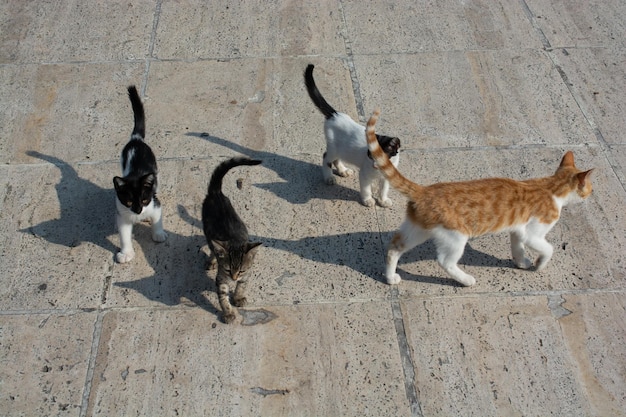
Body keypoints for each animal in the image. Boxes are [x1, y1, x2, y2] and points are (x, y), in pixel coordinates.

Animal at [112, 85, 166, 262]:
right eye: (129, 202)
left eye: (144, 199)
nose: (138, 211)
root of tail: (136, 139)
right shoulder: (122, 214)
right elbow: (124, 235)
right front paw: (126, 253)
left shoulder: (155, 204)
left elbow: (157, 219)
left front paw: (158, 234)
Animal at [202, 156, 260, 322]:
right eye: (228, 269)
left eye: (240, 271)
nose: (233, 278)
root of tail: (216, 193)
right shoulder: (221, 278)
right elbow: (222, 296)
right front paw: (228, 313)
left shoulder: (246, 274)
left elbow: (242, 286)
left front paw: (238, 297)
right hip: (207, 230)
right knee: (211, 246)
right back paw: (211, 260)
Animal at [304, 64, 400, 207]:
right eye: (370, 155)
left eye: (381, 155)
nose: (375, 164)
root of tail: (335, 115)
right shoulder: (364, 174)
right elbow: (366, 189)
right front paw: (368, 200)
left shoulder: (387, 177)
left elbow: (384, 189)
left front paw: (383, 200)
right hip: (333, 147)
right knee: (326, 157)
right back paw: (329, 177)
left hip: (341, 149)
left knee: (336, 159)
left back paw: (343, 170)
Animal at [364, 109, 592, 286]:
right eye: (590, 187)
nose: (591, 193)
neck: (551, 188)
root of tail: (424, 190)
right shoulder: (533, 233)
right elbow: (548, 249)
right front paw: (539, 265)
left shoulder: (518, 230)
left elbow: (517, 248)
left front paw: (521, 262)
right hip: (456, 236)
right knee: (445, 261)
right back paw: (466, 280)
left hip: (419, 229)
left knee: (394, 247)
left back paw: (390, 277)